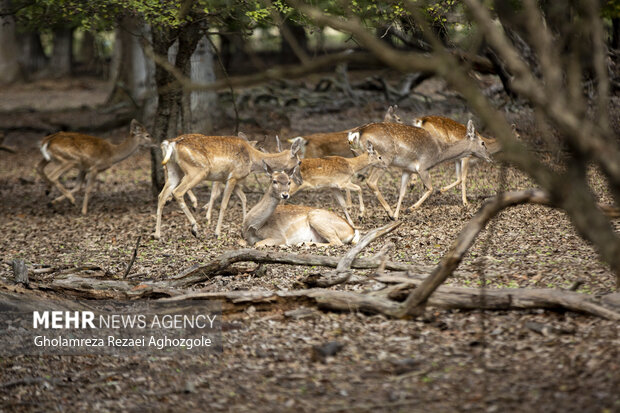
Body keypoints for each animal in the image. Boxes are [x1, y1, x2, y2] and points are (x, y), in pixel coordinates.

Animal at [154, 134, 302, 240]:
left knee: (162, 195)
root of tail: (170, 144)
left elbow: (243, 198)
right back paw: (195, 229)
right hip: (197, 170)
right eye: (299, 162)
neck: (253, 160)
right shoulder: (233, 177)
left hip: (174, 170)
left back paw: (157, 235)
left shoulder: (229, 179)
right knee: (177, 192)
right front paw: (217, 233)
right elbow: (224, 204)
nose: (300, 180)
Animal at [346, 119, 492, 219]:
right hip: (384, 158)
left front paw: (397, 216)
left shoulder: (407, 169)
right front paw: (410, 209)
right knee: (370, 182)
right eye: (483, 143)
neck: (439, 153)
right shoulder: (423, 167)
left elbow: (402, 192)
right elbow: (430, 188)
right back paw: (387, 212)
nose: (490, 158)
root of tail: (356, 133)